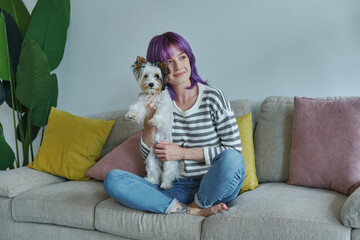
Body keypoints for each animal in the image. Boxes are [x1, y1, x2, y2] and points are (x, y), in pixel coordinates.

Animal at [125, 56, 180, 189]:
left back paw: (165, 185)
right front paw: (132, 115)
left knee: (167, 174)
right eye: (146, 76)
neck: (153, 95)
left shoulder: (163, 106)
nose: (151, 84)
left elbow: (159, 113)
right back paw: (151, 180)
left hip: (170, 162)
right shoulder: (142, 101)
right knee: (154, 172)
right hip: (151, 161)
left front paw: (154, 121)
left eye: (157, 76)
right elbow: (137, 107)